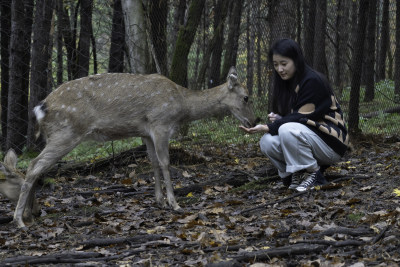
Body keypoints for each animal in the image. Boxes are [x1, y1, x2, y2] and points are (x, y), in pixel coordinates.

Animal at [0, 66, 256, 229]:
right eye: (246, 97)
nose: (254, 121)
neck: (182, 105)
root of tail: (40, 108)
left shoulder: (145, 132)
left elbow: (153, 162)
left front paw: (159, 200)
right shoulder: (160, 123)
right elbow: (165, 162)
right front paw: (174, 203)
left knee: (34, 169)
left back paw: (29, 214)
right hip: (66, 133)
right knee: (34, 166)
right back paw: (19, 220)